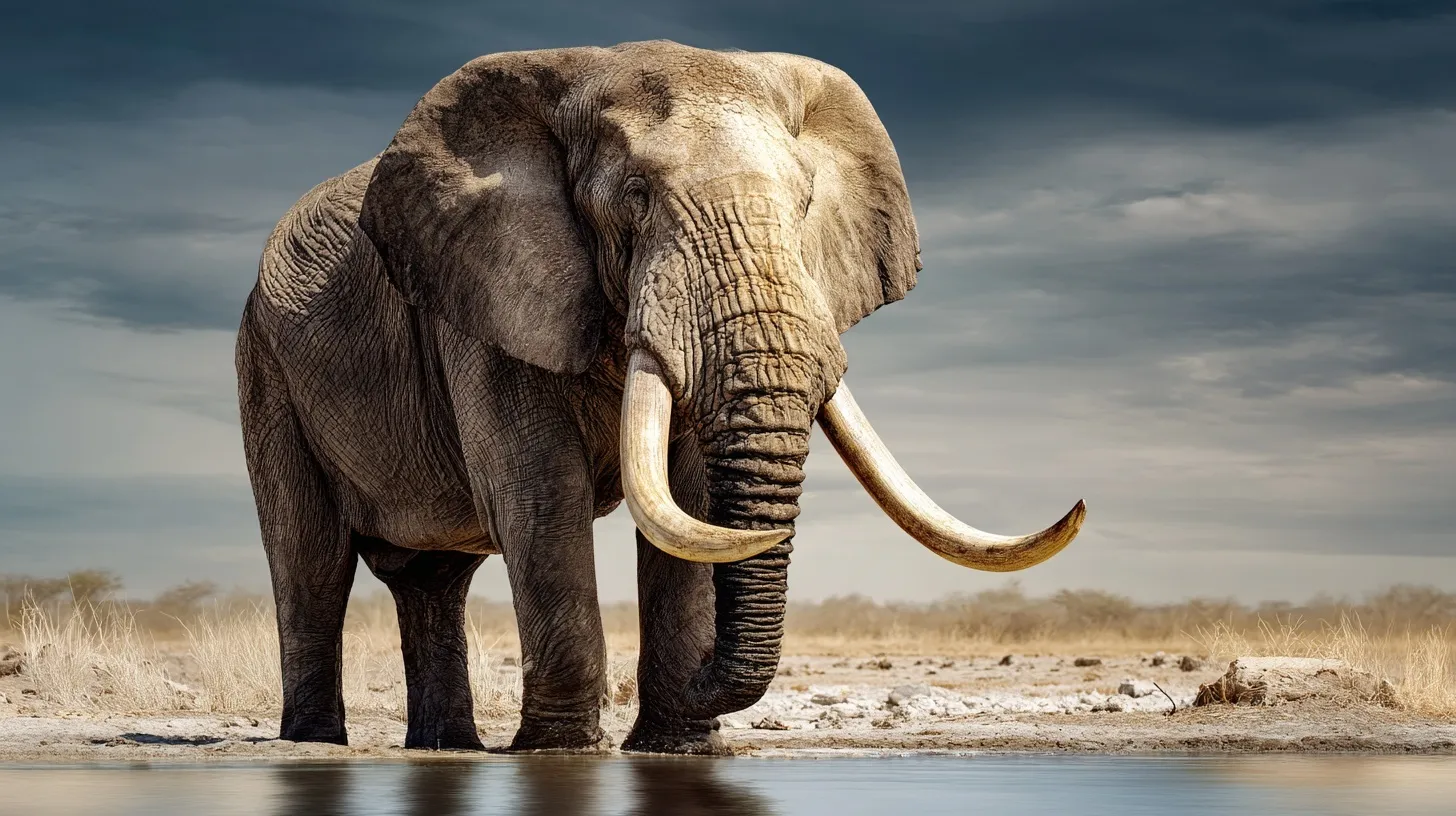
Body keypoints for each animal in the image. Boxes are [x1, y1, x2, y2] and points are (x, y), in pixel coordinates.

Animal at [236, 39, 1085, 754]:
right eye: (637, 197)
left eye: (805, 202)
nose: (710, 677)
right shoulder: (487, 296)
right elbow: (540, 495)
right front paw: (560, 754)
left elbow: (691, 497)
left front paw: (677, 747)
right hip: (264, 366)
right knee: (312, 566)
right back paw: (316, 745)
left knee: (432, 582)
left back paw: (450, 749)